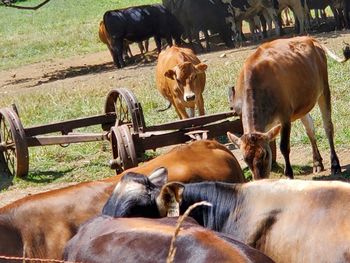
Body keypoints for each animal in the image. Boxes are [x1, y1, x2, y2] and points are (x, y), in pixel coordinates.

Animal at [227, 36, 350, 179]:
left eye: (264, 155)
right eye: (245, 159)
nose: (260, 180)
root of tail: (309, 38)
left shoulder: (285, 115)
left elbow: (284, 147)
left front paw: (289, 175)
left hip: (324, 89)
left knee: (328, 126)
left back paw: (335, 164)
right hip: (303, 103)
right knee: (310, 128)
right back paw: (317, 163)